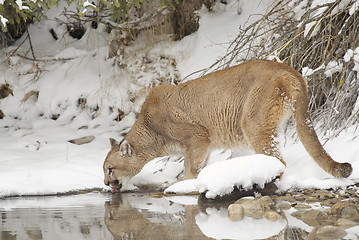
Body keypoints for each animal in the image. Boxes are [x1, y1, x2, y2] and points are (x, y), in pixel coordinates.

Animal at [102, 59, 352, 190]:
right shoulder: (204, 144)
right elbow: (199, 165)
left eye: (110, 169)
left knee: (278, 160)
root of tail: (290, 70)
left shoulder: (198, 135)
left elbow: (191, 166)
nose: (105, 183)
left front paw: (181, 185)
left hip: (252, 122)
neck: (149, 130)